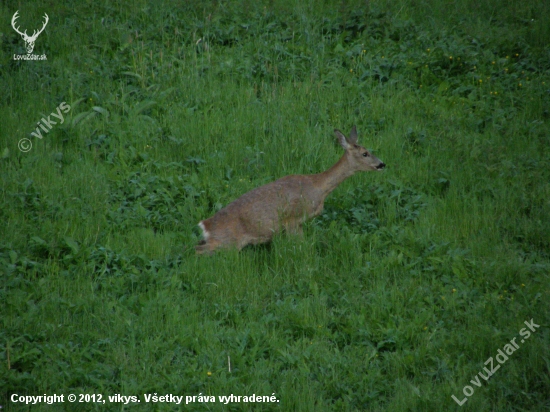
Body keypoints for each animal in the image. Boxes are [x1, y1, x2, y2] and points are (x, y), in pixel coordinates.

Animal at [196, 126, 386, 254]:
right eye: (365, 154)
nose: (382, 164)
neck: (318, 187)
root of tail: (206, 225)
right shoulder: (292, 218)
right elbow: (300, 245)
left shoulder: (299, 222)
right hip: (227, 242)